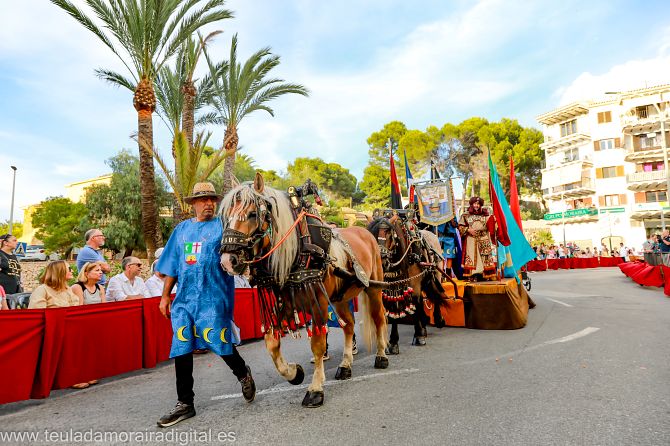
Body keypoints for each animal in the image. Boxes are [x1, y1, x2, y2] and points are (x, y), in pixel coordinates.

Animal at [220, 173, 388, 408]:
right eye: (226, 216)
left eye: (253, 214)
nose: (228, 261)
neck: (298, 249)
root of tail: (365, 231)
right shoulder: (286, 302)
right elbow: (271, 343)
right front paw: (294, 373)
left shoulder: (318, 304)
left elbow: (317, 345)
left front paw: (315, 389)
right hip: (339, 298)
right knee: (349, 325)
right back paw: (345, 365)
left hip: (373, 288)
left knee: (379, 318)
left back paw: (382, 355)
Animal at [370, 211, 448, 354]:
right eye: (373, 234)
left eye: (389, 234)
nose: (381, 261)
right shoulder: (391, 287)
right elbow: (394, 309)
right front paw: (393, 342)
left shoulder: (415, 284)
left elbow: (416, 304)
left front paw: (418, 336)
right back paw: (424, 326)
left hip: (436, 273)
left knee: (435, 296)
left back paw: (437, 320)